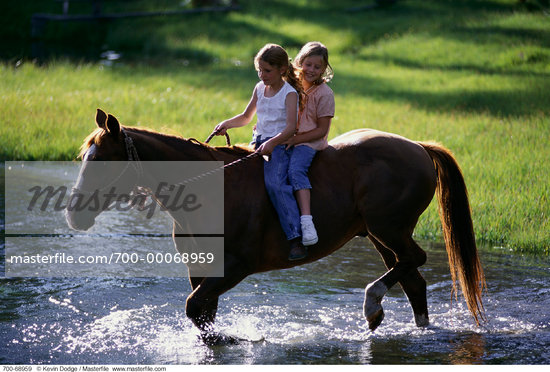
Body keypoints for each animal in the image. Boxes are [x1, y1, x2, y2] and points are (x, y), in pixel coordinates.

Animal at [66, 109, 488, 344]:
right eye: (83, 155)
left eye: (101, 159)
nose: (73, 213)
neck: (213, 189)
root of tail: (419, 147)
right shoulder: (202, 269)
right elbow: (201, 314)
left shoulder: (235, 267)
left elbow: (195, 308)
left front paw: (235, 338)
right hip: (378, 234)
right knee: (412, 277)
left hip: (390, 227)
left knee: (414, 261)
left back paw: (372, 303)